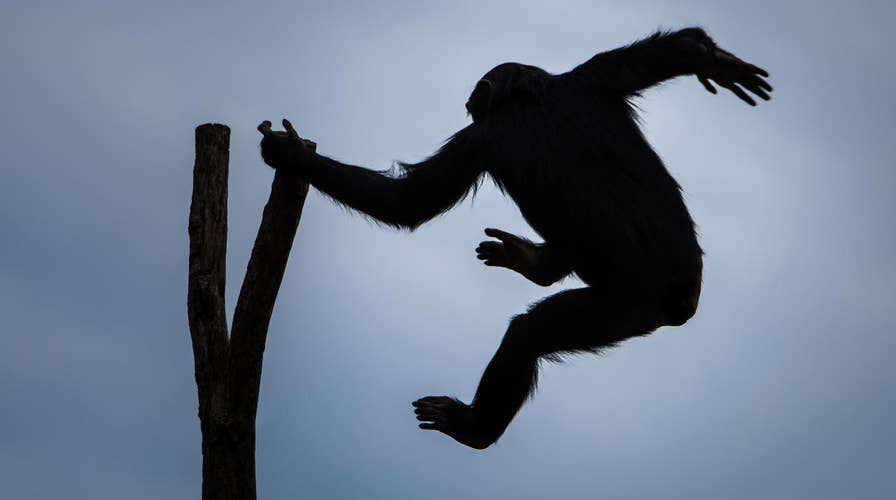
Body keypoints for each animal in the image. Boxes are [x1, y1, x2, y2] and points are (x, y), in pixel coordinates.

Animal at [258, 27, 771, 449]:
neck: (530, 99)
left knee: (530, 335)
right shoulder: (591, 75)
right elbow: (664, 53)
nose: (467, 101)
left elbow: (408, 202)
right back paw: (535, 264)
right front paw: (717, 62)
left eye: (475, 97)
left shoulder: (478, 138)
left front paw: (291, 156)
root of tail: (684, 300)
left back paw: (473, 428)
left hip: (627, 307)